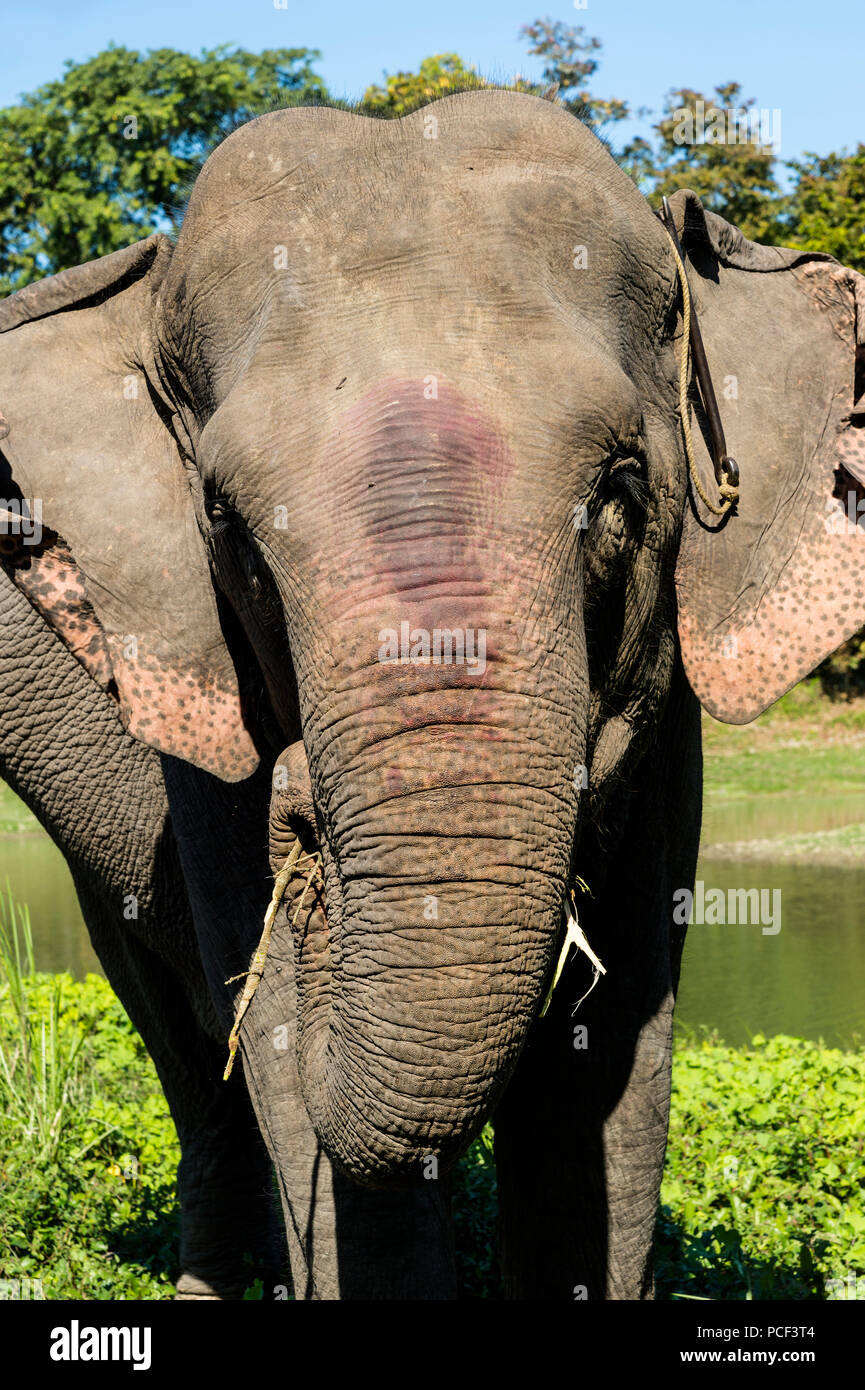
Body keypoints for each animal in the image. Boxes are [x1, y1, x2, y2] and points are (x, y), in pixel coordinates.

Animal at [0, 89, 862, 1301]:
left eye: (620, 494)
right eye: (227, 527)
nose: (305, 816)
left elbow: (611, 1058)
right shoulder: (196, 704)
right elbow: (282, 1062)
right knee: (176, 1015)